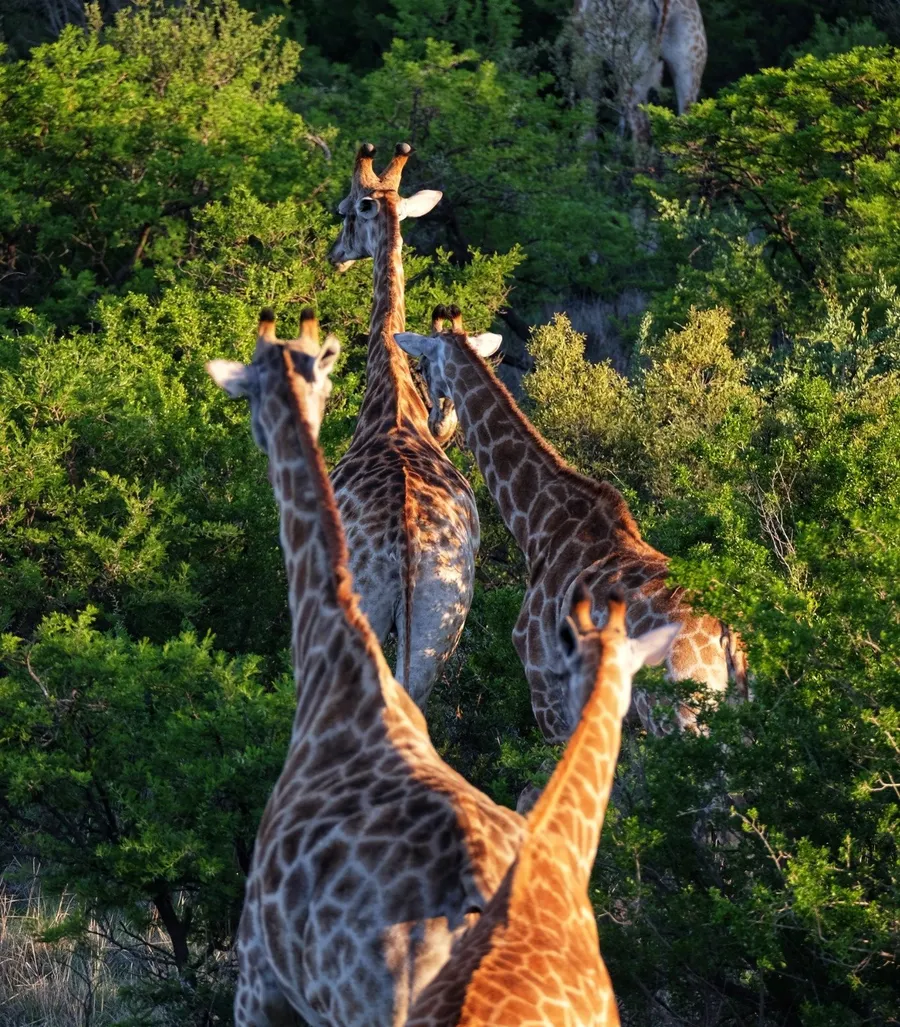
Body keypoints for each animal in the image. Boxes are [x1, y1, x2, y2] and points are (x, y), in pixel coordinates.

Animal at [395, 308, 749, 752]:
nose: (437, 425)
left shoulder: (545, 685)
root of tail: (727, 637)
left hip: (679, 717)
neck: (539, 523)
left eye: (423, 365)